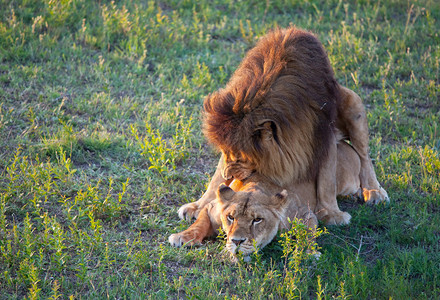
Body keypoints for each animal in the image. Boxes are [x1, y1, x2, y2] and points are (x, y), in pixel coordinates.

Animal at [168, 141, 360, 260]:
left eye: (257, 220)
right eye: (231, 217)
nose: (237, 242)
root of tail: (342, 143)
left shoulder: (304, 215)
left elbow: (308, 233)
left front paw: (309, 252)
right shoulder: (213, 208)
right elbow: (199, 223)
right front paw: (182, 236)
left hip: (346, 182)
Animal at [177, 27, 386, 225]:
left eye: (241, 157)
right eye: (224, 151)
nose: (228, 175)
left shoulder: (323, 132)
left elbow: (327, 180)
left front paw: (332, 214)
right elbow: (215, 180)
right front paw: (198, 205)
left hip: (353, 103)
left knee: (364, 156)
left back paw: (373, 191)